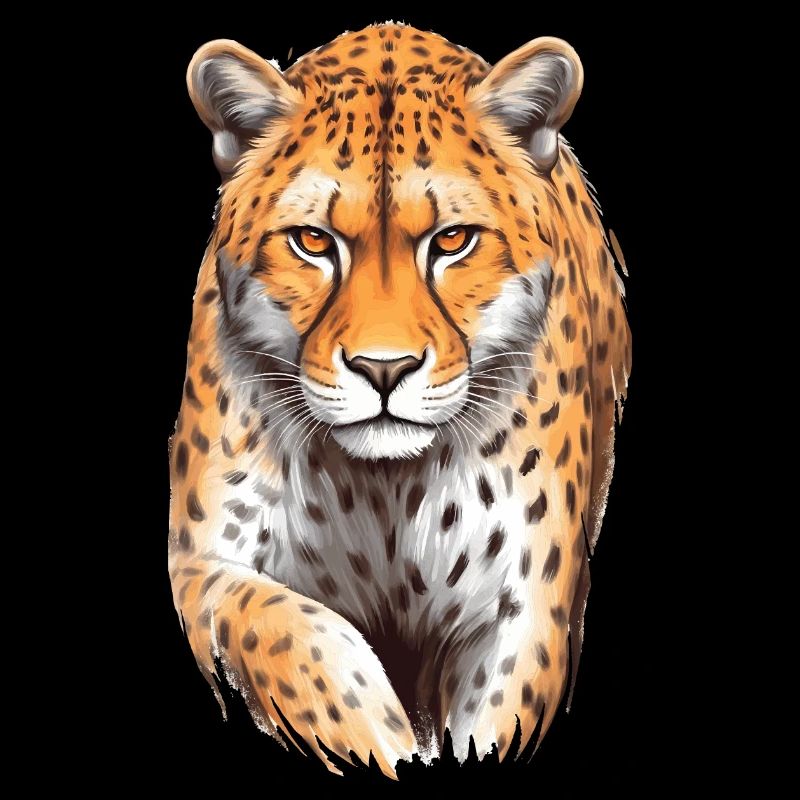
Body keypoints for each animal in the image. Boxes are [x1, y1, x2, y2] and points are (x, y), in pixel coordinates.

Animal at [168, 21, 631, 779]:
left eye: (452, 241)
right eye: (313, 241)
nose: (383, 370)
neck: (384, 493)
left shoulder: (522, 604)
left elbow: (493, 722)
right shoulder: (205, 566)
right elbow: (301, 640)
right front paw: (382, 741)